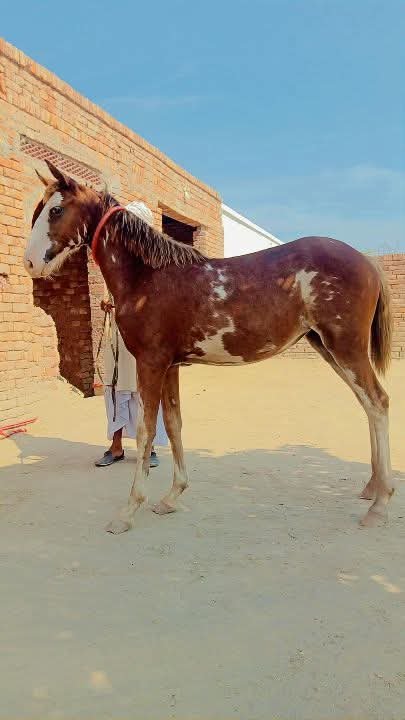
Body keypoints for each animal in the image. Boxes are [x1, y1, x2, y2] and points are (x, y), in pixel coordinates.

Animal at [23, 160, 394, 534]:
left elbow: (145, 431)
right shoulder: (170, 366)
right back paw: (372, 487)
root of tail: (367, 261)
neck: (148, 277)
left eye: (55, 210)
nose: (29, 263)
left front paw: (128, 511)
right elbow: (173, 424)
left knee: (378, 402)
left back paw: (380, 504)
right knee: (367, 405)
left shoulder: (151, 364)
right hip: (329, 349)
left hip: (346, 348)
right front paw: (172, 497)